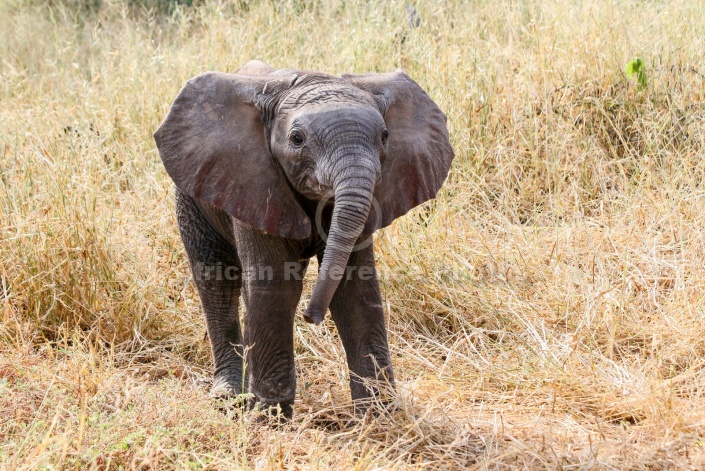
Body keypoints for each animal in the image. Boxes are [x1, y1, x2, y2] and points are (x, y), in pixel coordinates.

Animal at [154, 60, 454, 418]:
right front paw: (270, 417)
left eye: (385, 137)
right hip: (192, 193)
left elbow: (356, 287)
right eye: (297, 139)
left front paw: (378, 415)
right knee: (216, 280)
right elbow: (275, 285)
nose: (311, 317)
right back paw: (228, 397)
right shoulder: (254, 183)